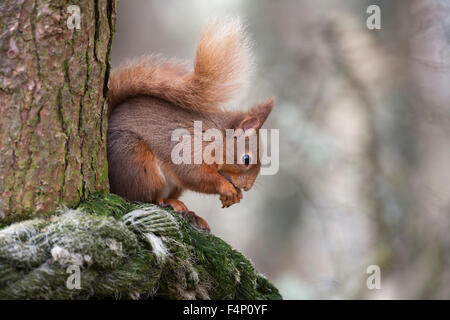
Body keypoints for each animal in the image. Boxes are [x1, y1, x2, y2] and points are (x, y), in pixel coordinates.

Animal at [106, 18, 274, 230]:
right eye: (246, 159)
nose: (247, 187)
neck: (218, 138)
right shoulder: (190, 147)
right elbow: (194, 175)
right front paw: (227, 188)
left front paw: (236, 195)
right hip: (137, 161)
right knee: (140, 197)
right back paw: (163, 202)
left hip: (172, 185)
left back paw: (188, 211)